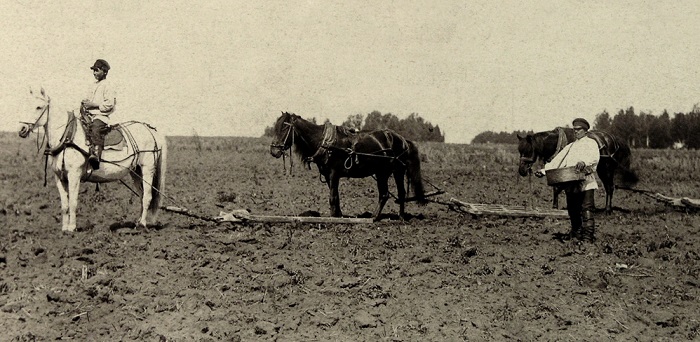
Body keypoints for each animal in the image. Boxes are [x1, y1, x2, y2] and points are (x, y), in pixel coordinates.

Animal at [18, 87, 167, 232]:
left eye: (39, 107)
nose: (22, 129)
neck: (67, 137)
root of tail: (152, 130)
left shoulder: (74, 175)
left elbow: (73, 202)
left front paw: (71, 228)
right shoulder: (59, 177)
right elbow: (64, 205)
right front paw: (64, 228)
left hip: (147, 169)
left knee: (147, 196)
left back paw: (142, 225)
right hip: (135, 171)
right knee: (141, 196)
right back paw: (137, 223)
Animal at [270, 111, 426, 220]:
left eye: (284, 128)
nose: (274, 151)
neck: (324, 142)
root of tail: (403, 140)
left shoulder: (334, 173)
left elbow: (332, 197)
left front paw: (334, 217)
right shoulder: (328, 175)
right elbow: (335, 196)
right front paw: (338, 215)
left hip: (390, 172)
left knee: (388, 194)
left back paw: (377, 217)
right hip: (387, 172)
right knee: (397, 193)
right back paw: (399, 216)